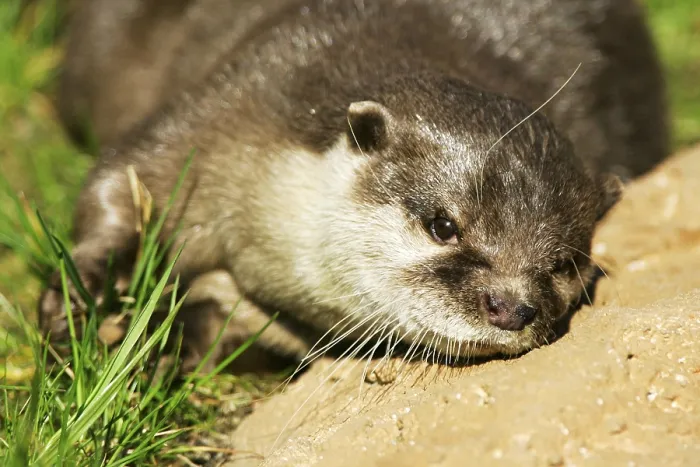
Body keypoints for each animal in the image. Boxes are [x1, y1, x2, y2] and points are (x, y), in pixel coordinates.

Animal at [42, 0, 667, 371]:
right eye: (443, 225)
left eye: (564, 265)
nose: (512, 306)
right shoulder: (240, 99)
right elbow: (124, 174)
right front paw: (83, 296)